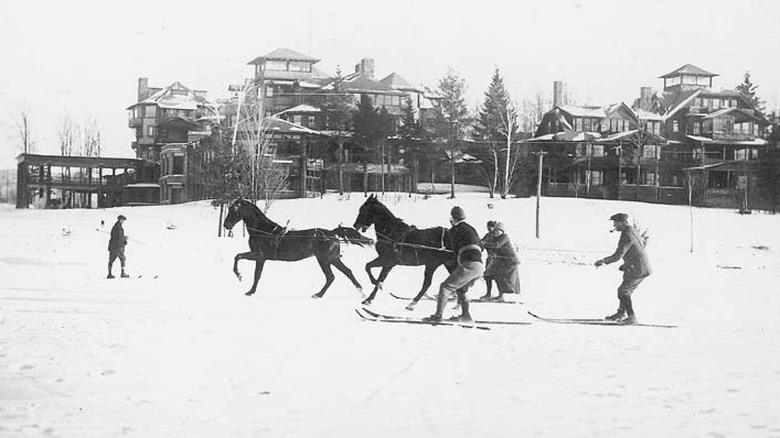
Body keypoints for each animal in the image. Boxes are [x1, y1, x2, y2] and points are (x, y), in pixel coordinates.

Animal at [222, 198, 372, 298]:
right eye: (229, 208)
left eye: (235, 209)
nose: (226, 225)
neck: (263, 231)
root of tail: (331, 233)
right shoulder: (259, 257)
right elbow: (244, 263)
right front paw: (246, 285)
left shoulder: (259, 255)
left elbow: (247, 265)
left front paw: (243, 282)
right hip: (333, 258)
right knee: (347, 272)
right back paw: (361, 292)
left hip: (324, 259)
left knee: (331, 276)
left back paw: (318, 294)